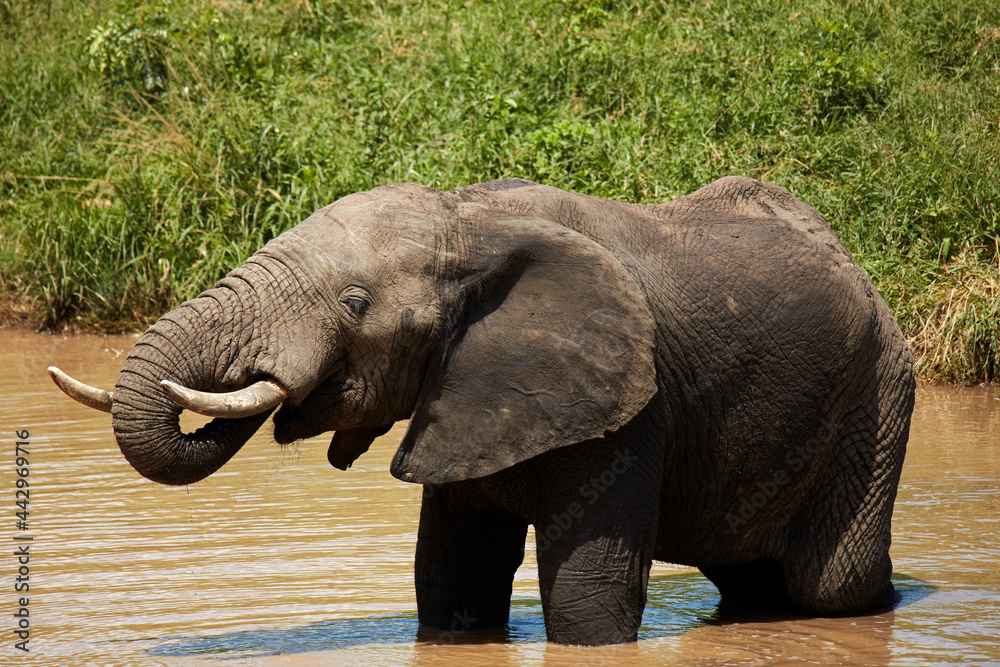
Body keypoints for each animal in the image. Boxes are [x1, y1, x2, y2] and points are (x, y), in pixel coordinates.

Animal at [50, 176, 915, 646]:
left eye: (354, 303)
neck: (466, 218)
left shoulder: (634, 408)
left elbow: (587, 599)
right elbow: (451, 581)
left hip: (879, 395)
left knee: (834, 586)